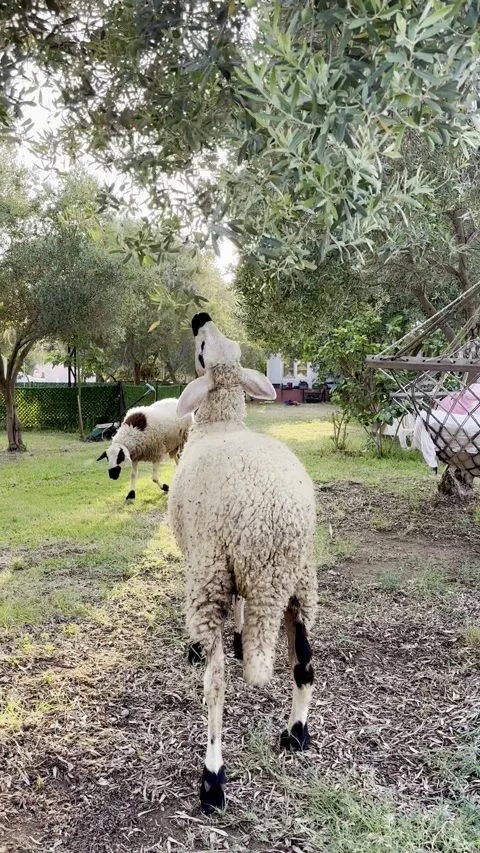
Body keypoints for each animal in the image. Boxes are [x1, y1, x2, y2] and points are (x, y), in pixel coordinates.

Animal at [168, 313, 317, 814]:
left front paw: (201, 646)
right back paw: (296, 733)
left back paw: (212, 779)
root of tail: (274, 524)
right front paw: (238, 637)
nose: (200, 318)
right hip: (299, 582)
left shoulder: (203, 560)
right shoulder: (231, 573)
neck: (220, 423)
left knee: (216, 686)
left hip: (214, 571)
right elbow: (240, 611)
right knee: (304, 664)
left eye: (200, 350)